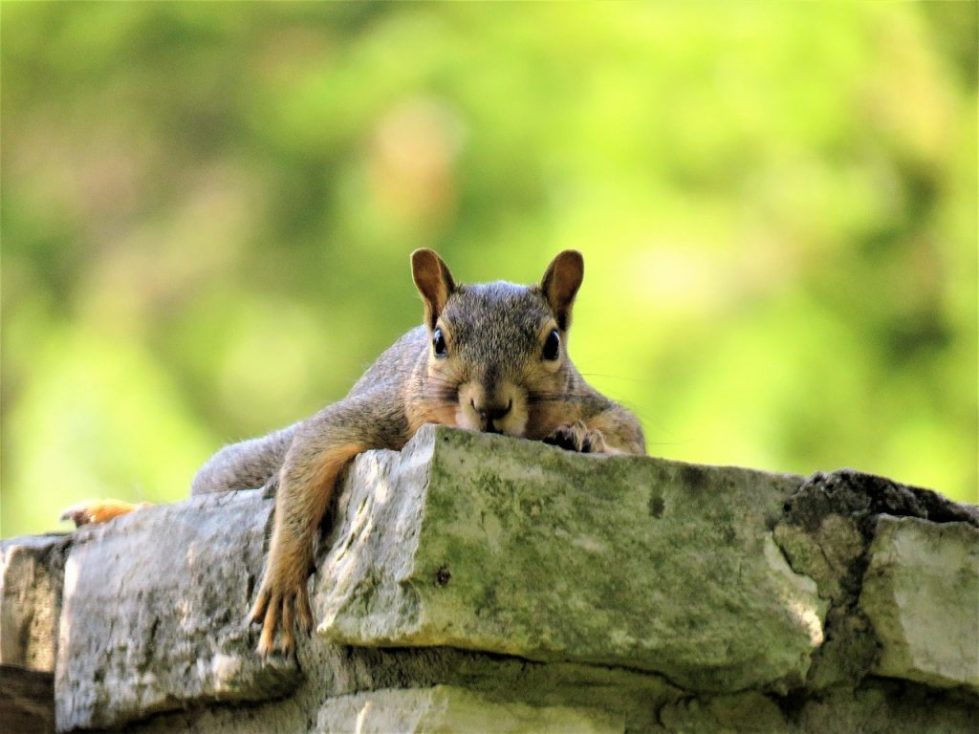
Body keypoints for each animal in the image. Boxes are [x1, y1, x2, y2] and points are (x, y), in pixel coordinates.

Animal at [63, 250, 644, 660]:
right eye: (439, 341)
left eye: (552, 344)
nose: (491, 407)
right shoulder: (383, 413)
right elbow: (312, 451)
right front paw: (283, 579)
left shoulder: (594, 402)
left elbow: (628, 435)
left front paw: (583, 437)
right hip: (234, 470)